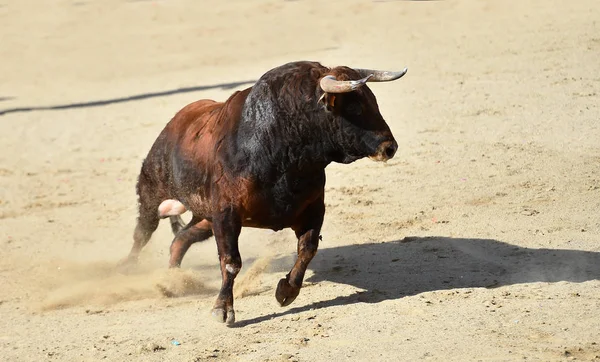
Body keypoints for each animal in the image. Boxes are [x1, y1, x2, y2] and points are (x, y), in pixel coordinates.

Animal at [118, 60, 408, 324]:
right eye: (355, 107)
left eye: (374, 101)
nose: (389, 147)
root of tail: (176, 121)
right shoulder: (227, 214)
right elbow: (231, 261)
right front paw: (223, 310)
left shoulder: (313, 207)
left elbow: (307, 248)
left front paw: (286, 292)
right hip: (152, 194)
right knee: (142, 233)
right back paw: (128, 270)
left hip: (205, 217)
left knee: (180, 240)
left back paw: (171, 282)